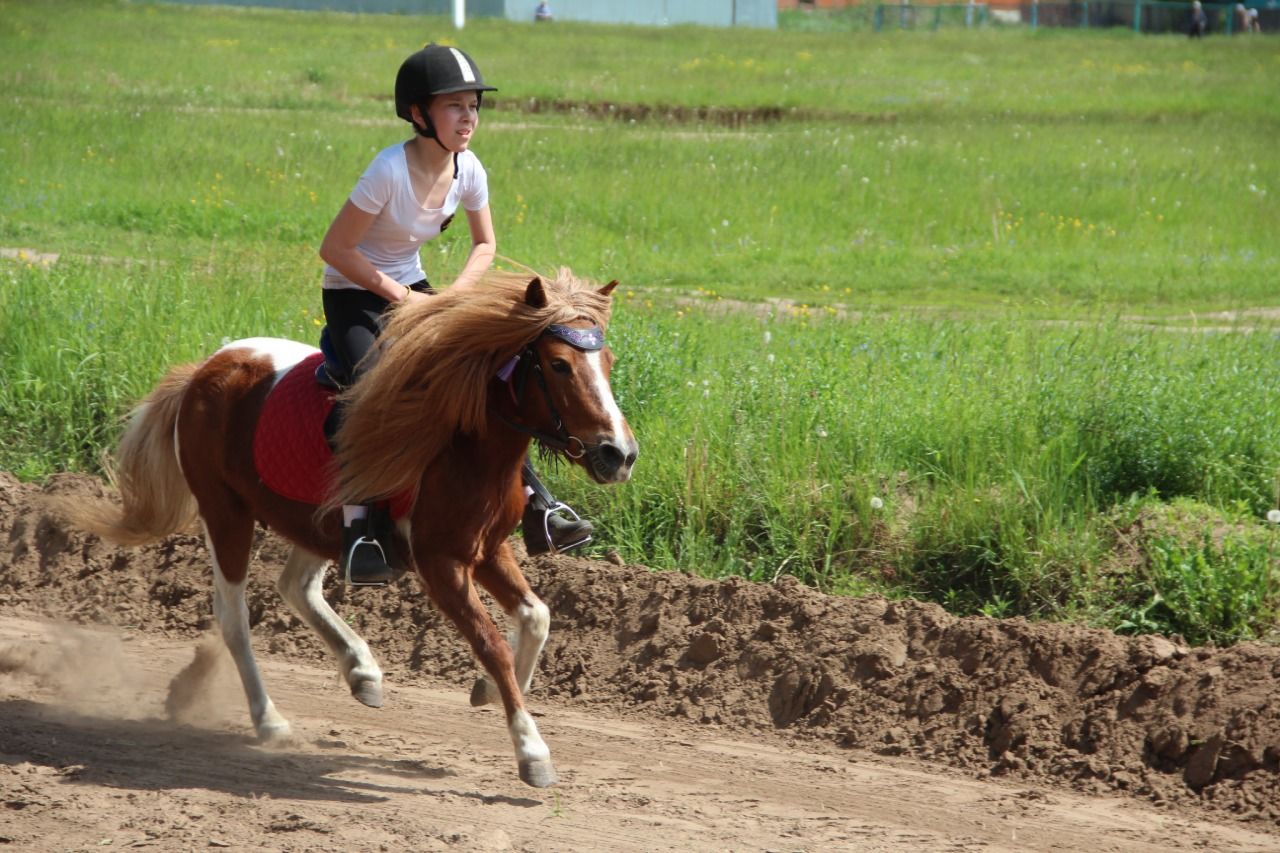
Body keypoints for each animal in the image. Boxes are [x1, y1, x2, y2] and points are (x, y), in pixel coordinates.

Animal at [52, 268, 640, 788]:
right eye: (559, 365)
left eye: (609, 360)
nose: (619, 454)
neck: (463, 444)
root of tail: (204, 369)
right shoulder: (441, 564)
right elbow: (492, 642)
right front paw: (531, 750)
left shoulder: (488, 548)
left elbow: (537, 616)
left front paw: (489, 691)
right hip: (226, 512)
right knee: (233, 617)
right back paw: (271, 720)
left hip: (316, 523)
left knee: (295, 586)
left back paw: (361, 669)